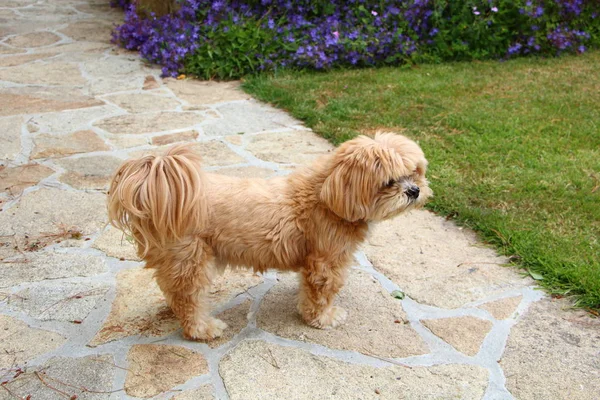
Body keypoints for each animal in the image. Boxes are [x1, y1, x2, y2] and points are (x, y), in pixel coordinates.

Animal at [108, 133, 432, 340]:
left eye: (415, 172)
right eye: (389, 182)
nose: (414, 190)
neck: (327, 194)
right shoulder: (326, 263)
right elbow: (321, 294)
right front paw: (323, 318)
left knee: (172, 290)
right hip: (192, 261)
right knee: (187, 298)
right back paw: (202, 329)